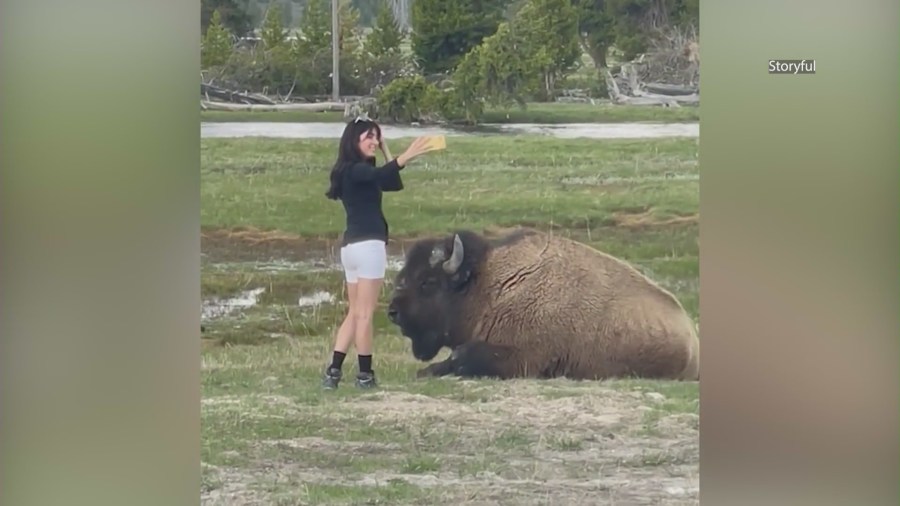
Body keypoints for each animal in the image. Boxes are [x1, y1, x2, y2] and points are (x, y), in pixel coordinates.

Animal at [384, 228, 700, 380]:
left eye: (428, 282)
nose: (393, 312)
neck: (490, 285)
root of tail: (692, 338)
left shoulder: (522, 357)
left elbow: (462, 355)